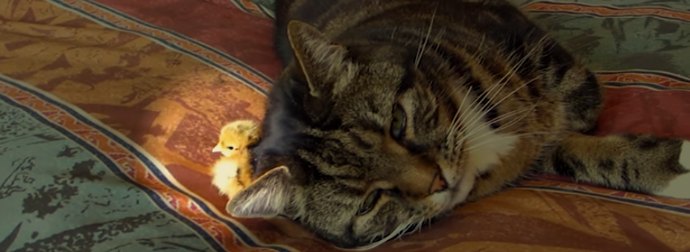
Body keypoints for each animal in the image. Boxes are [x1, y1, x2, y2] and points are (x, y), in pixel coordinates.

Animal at [224, 0, 684, 248]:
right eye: (371, 201)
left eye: (398, 123)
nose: (438, 181)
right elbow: (574, 151)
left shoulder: (527, 43)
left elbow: (578, 103)